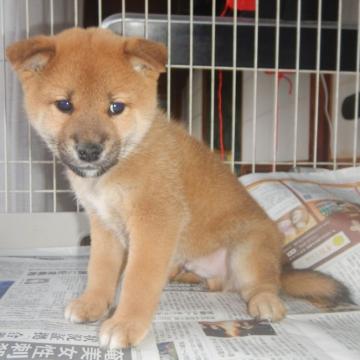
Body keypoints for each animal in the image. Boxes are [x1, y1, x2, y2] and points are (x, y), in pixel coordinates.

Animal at [6, 27, 352, 348]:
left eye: (116, 108)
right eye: (64, 105)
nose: (89, 151)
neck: (125, 159)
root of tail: (281, 262)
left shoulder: (155, 222)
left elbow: (138, 280)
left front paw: (125, 324)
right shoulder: (103, 226)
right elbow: (99, 270)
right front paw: (92, 304)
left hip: (248, 251)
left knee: (262, 283)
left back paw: (265, 303)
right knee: (219, 282)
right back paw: (187, 277)